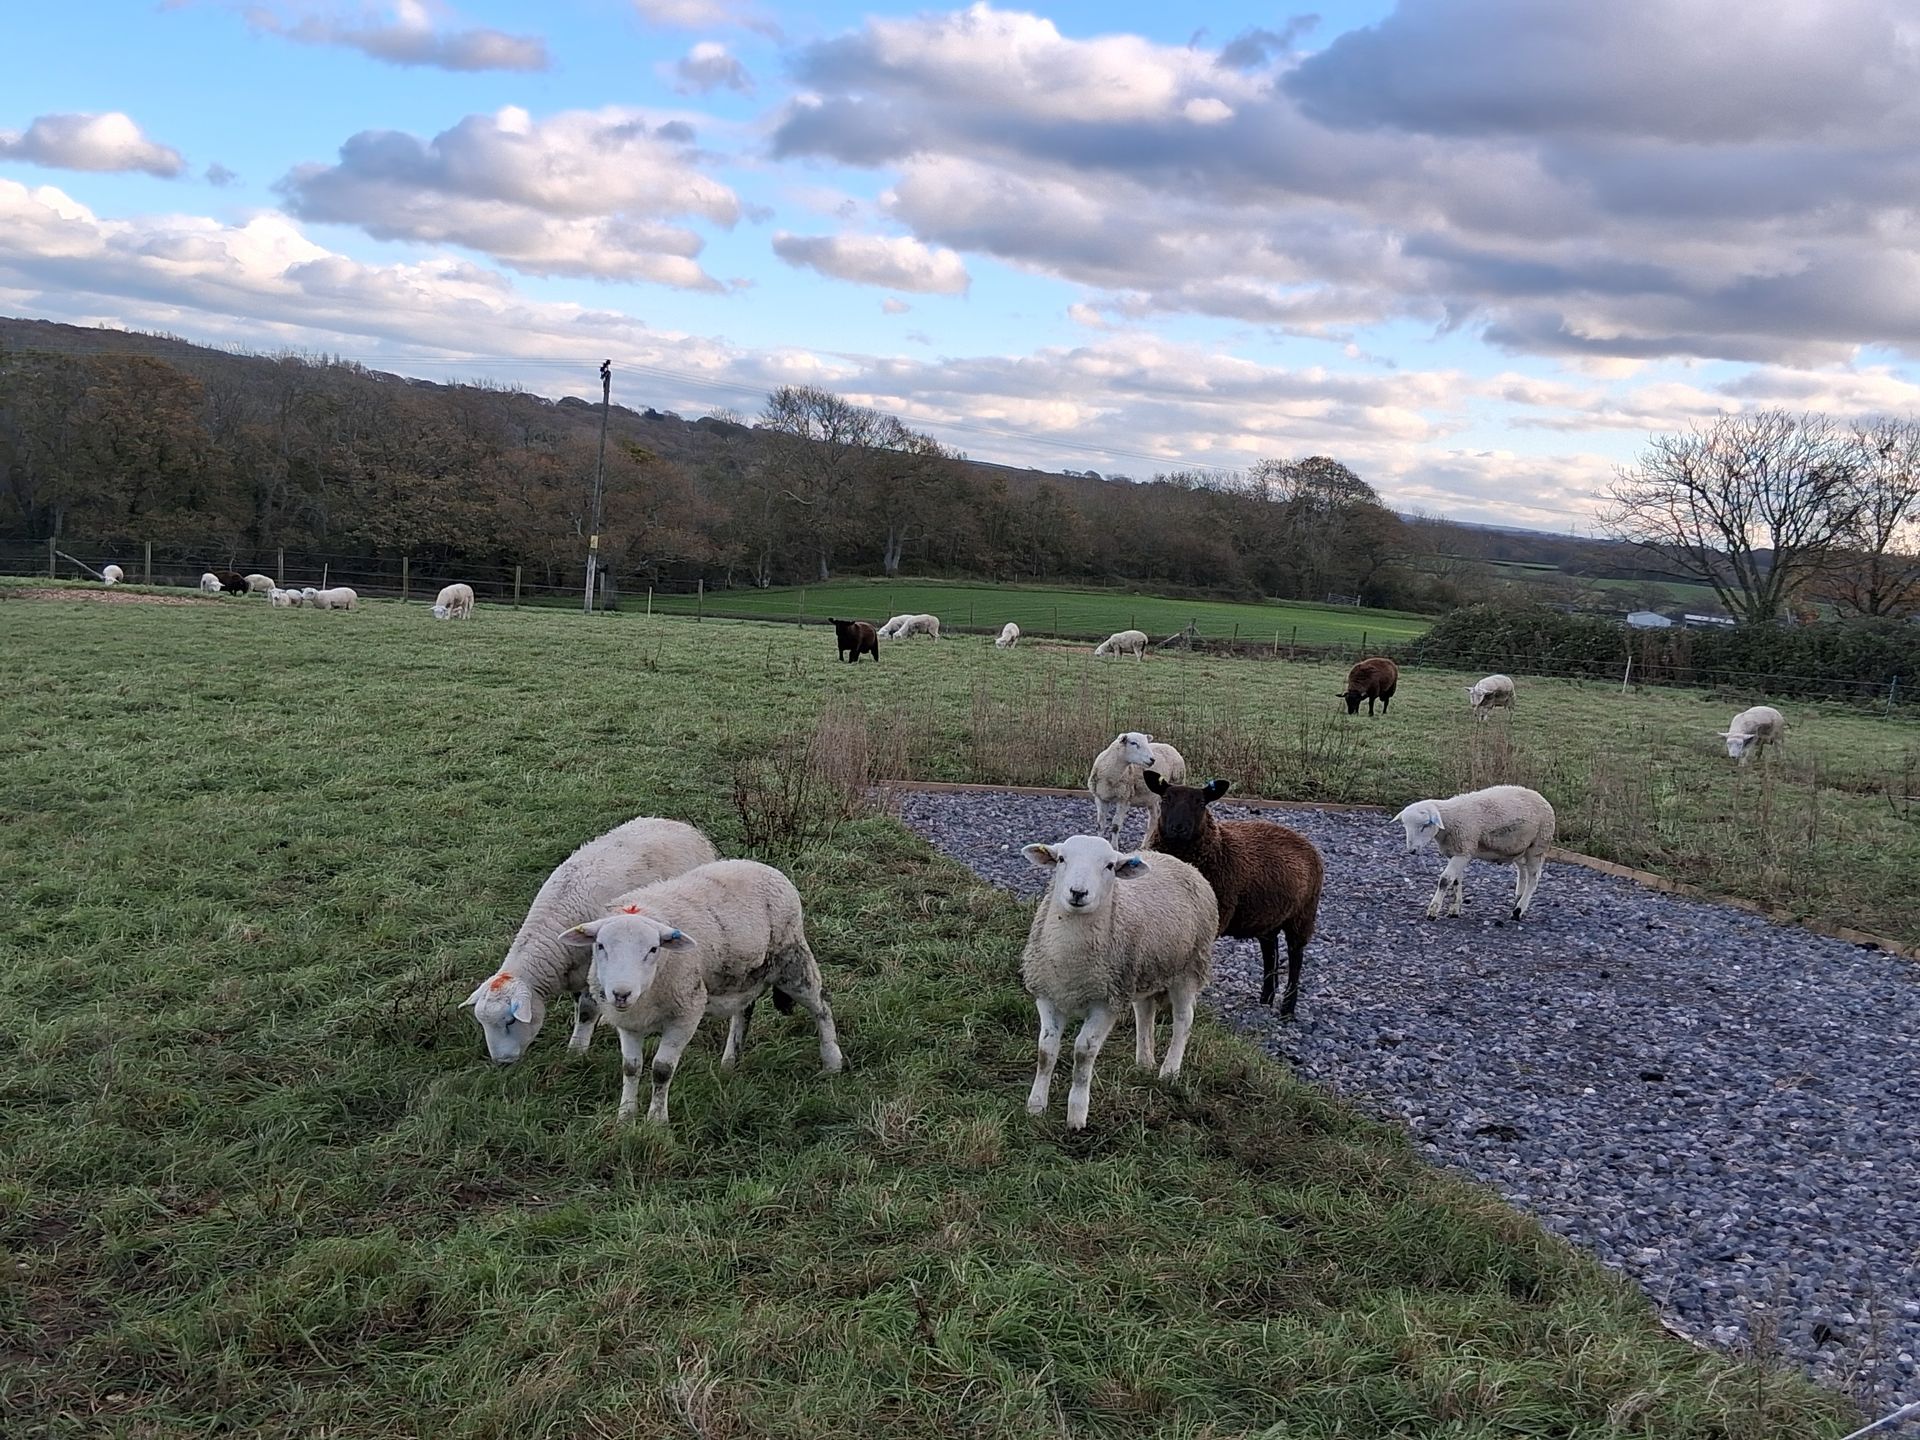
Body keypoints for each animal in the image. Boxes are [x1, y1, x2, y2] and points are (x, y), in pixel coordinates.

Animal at [460, 816, 719, 1064]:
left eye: (510, 1021)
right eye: (483, 1024)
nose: (502, 1062)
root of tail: (682, 826)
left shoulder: (591, 970)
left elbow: (586, 1011)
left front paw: (576, 1051)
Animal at [562, 859, 843, 1125]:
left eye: (653, 949)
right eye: (600, 945)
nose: (621, 993)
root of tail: (764, 867)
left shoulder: (685, 1015)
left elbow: (661, 1069)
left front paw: (656, 1121)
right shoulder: (629, 1022)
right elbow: (631, 1068)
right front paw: (625, 1117)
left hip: (792, 961)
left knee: (822, 1004)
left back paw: (832, 1061)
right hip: (746, 976)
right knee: (744, 1011)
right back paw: (730, 1063)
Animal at [1018, 835, 1219, 1130]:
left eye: (1110, 866)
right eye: (1061, 859)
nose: (1078, 892)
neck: (1071, 963)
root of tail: (1176, 860)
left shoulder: (1106, 1003)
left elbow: (1083, 1052)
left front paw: (1076, 1115)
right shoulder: (1048, 995)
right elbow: (1046, 1051)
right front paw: (1035, 1106)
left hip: (1188, 967)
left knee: (1184, 1019)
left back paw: (1169, 1070)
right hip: (1142, 972)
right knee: (1144, 1012)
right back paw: (1144, 1061)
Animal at [1144, 773, 1324, 1017]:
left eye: (1201, 803)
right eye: (1165, 799)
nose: (1178, 828)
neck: (1218, 848)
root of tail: (1304, 841)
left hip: (1302, 915)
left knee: (1296, 957)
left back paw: (1287, 1008)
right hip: (1268, 916)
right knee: (1271, 951)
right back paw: (1266, 998)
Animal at [1394, 784, 1555, 922]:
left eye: (1425, 825)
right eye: (1405, 826)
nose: (1412, 850)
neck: (1450, 819)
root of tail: (1541, 797)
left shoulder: (1463, 851)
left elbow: (1445, 880)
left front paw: (1433, 911)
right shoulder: (1457, 851)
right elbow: (1456, 881)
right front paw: (1454, 910)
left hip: (1538, 845)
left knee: (1533, 879)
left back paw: (1518, 911)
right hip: (1518, 847)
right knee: (1522, 872)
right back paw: (1518, 901)